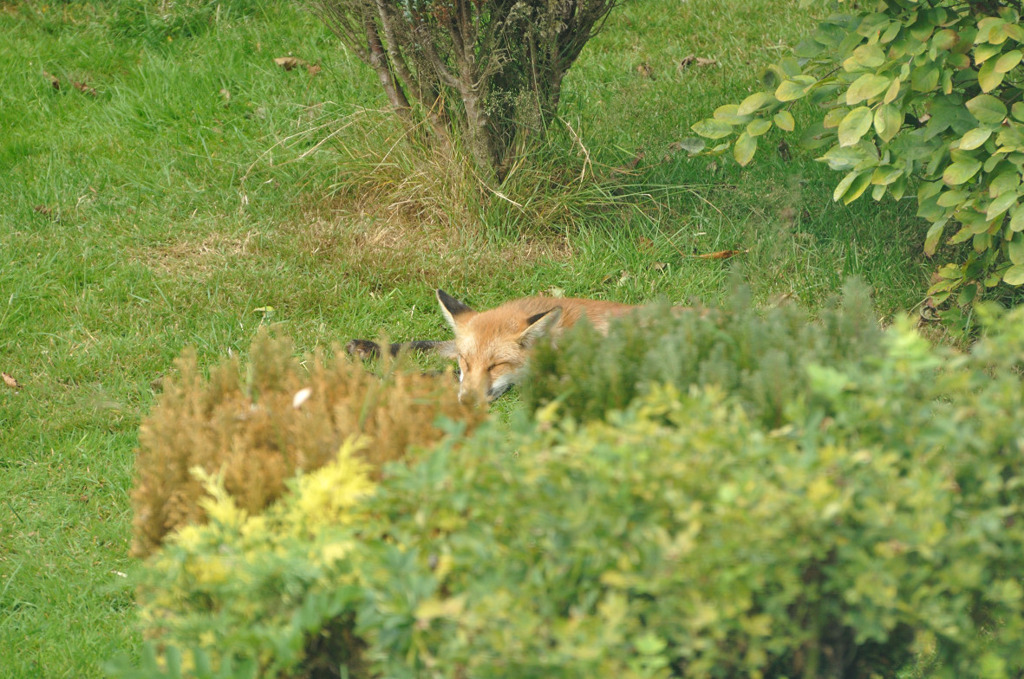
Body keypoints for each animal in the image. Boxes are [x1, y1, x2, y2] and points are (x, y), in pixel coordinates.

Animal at [348, 288, 643, 403]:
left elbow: (428, 373)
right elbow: (421, 344)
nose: (468, 401)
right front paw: (369, 347)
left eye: (497, 365)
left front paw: (372, 378)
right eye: (466, 361)